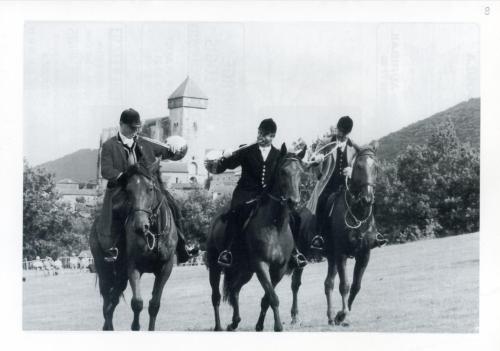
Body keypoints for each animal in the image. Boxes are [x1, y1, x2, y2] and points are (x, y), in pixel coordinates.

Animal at [90, 161, 180, 332]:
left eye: (150, 189)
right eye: (128, 191)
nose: (140, 226)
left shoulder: (165, 268)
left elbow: (154, 305)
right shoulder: (133, 267)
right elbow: (137, 303)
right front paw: (135, 326)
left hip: (120, 275)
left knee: (113, 300)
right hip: (105, 269)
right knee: (107, 300)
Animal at [206, 144, 306, 332]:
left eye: (301, 172)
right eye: (283, 171)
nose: (293, 202)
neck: (275, 225)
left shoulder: (279, 269)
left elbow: (267, 298)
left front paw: (260, 325)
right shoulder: (261, 265)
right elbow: (273, 297)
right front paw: (278, 327)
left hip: (245, 270)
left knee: (235, 290)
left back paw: (234, 322)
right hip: (215, 267)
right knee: (216, 296)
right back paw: (218, 326)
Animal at [292, 143, 380, 328]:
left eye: (375, 167)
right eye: (358, 166)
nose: (367, 199)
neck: (357, 213)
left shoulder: (364, 254)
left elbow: (356, 285)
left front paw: (340, 315)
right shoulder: (341, 254)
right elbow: (344, 285)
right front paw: (344, 315)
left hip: (330, 258)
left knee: (328, 284)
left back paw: (331, 316)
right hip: (302, 257)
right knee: (295, 284)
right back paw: (295, 316)